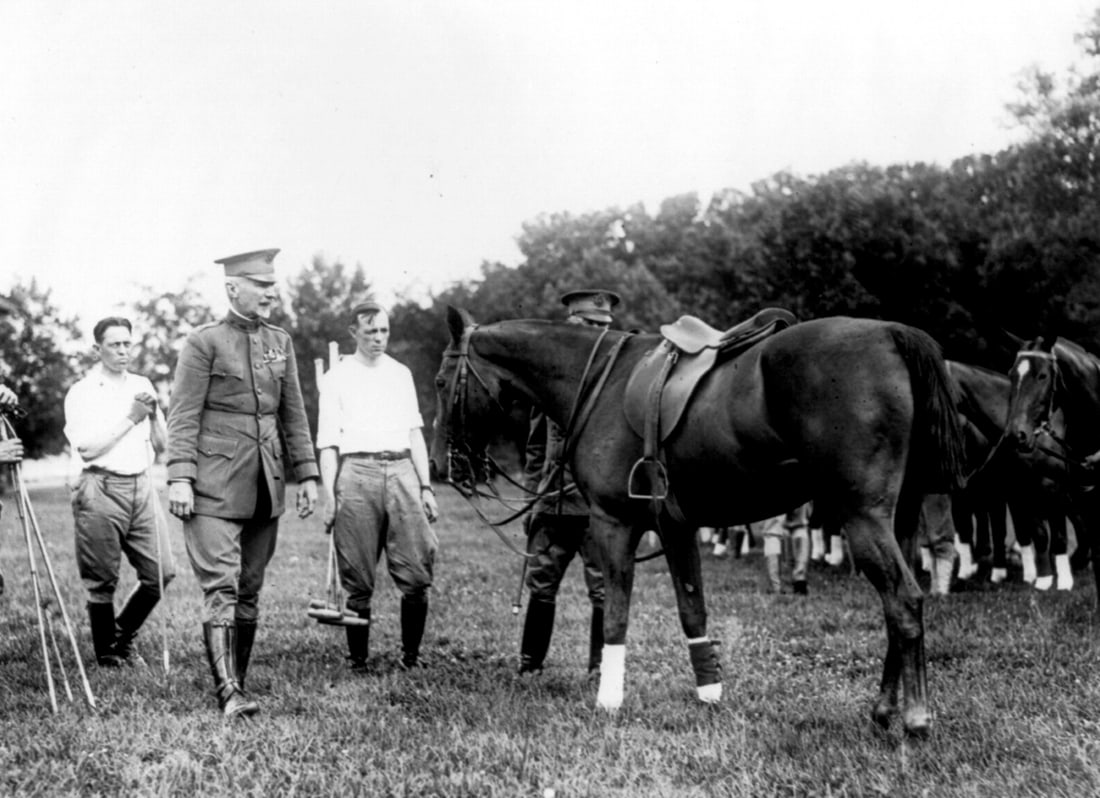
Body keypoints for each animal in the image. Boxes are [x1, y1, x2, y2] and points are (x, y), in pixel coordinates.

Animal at [432, 307, 966, 737]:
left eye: (439, 382)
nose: (442, 464)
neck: (598, 381)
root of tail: (891, 332)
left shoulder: (613, 522)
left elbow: (617, 614)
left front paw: (609, 699)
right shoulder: (676, 527)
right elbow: (693, 610)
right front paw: (710, 692)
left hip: (862, 515)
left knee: (903, 599)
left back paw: (915, 719)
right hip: (900, 517)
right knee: (900, 605)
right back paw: (883, 711)